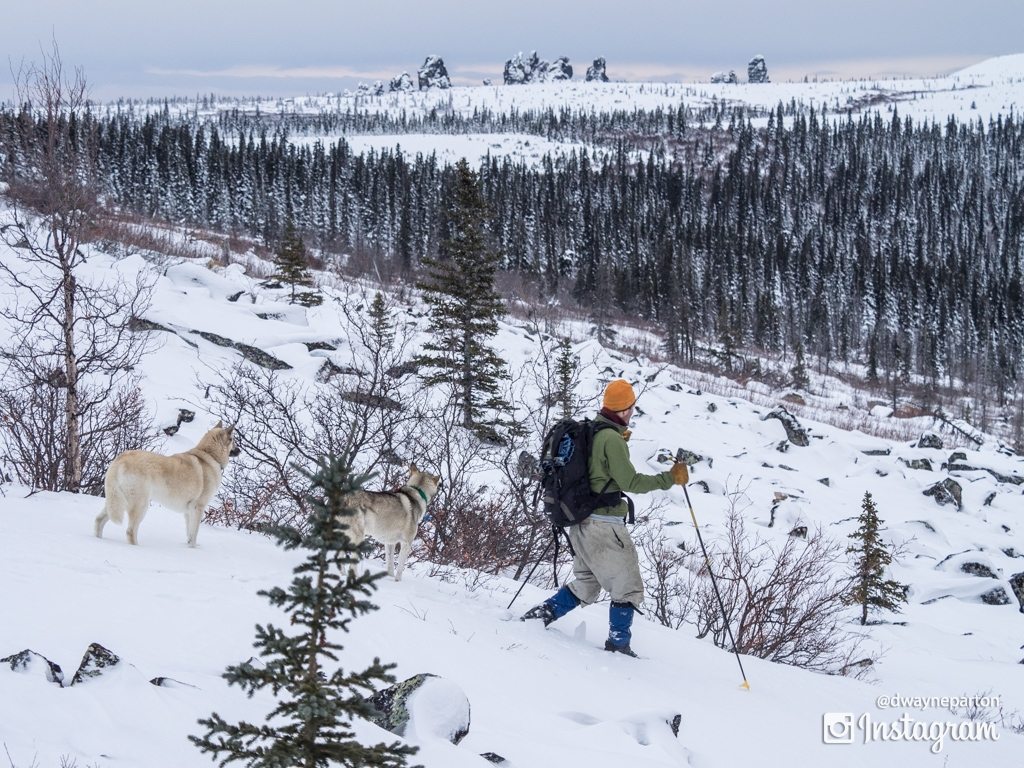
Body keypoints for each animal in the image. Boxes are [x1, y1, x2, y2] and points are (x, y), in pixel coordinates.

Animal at [93, 421, 237, 548]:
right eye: (233, 440)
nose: (239, 450)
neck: (210, 456)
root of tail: (121, 459)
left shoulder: (188, 511)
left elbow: (189, 533)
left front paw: (190, 547)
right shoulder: (198, 508)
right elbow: (194, 533)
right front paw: (194, 549)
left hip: (116, 501)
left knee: (99, 520)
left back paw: (98, 540)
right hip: (140, 505)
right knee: (130, 531)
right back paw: (137, 548)